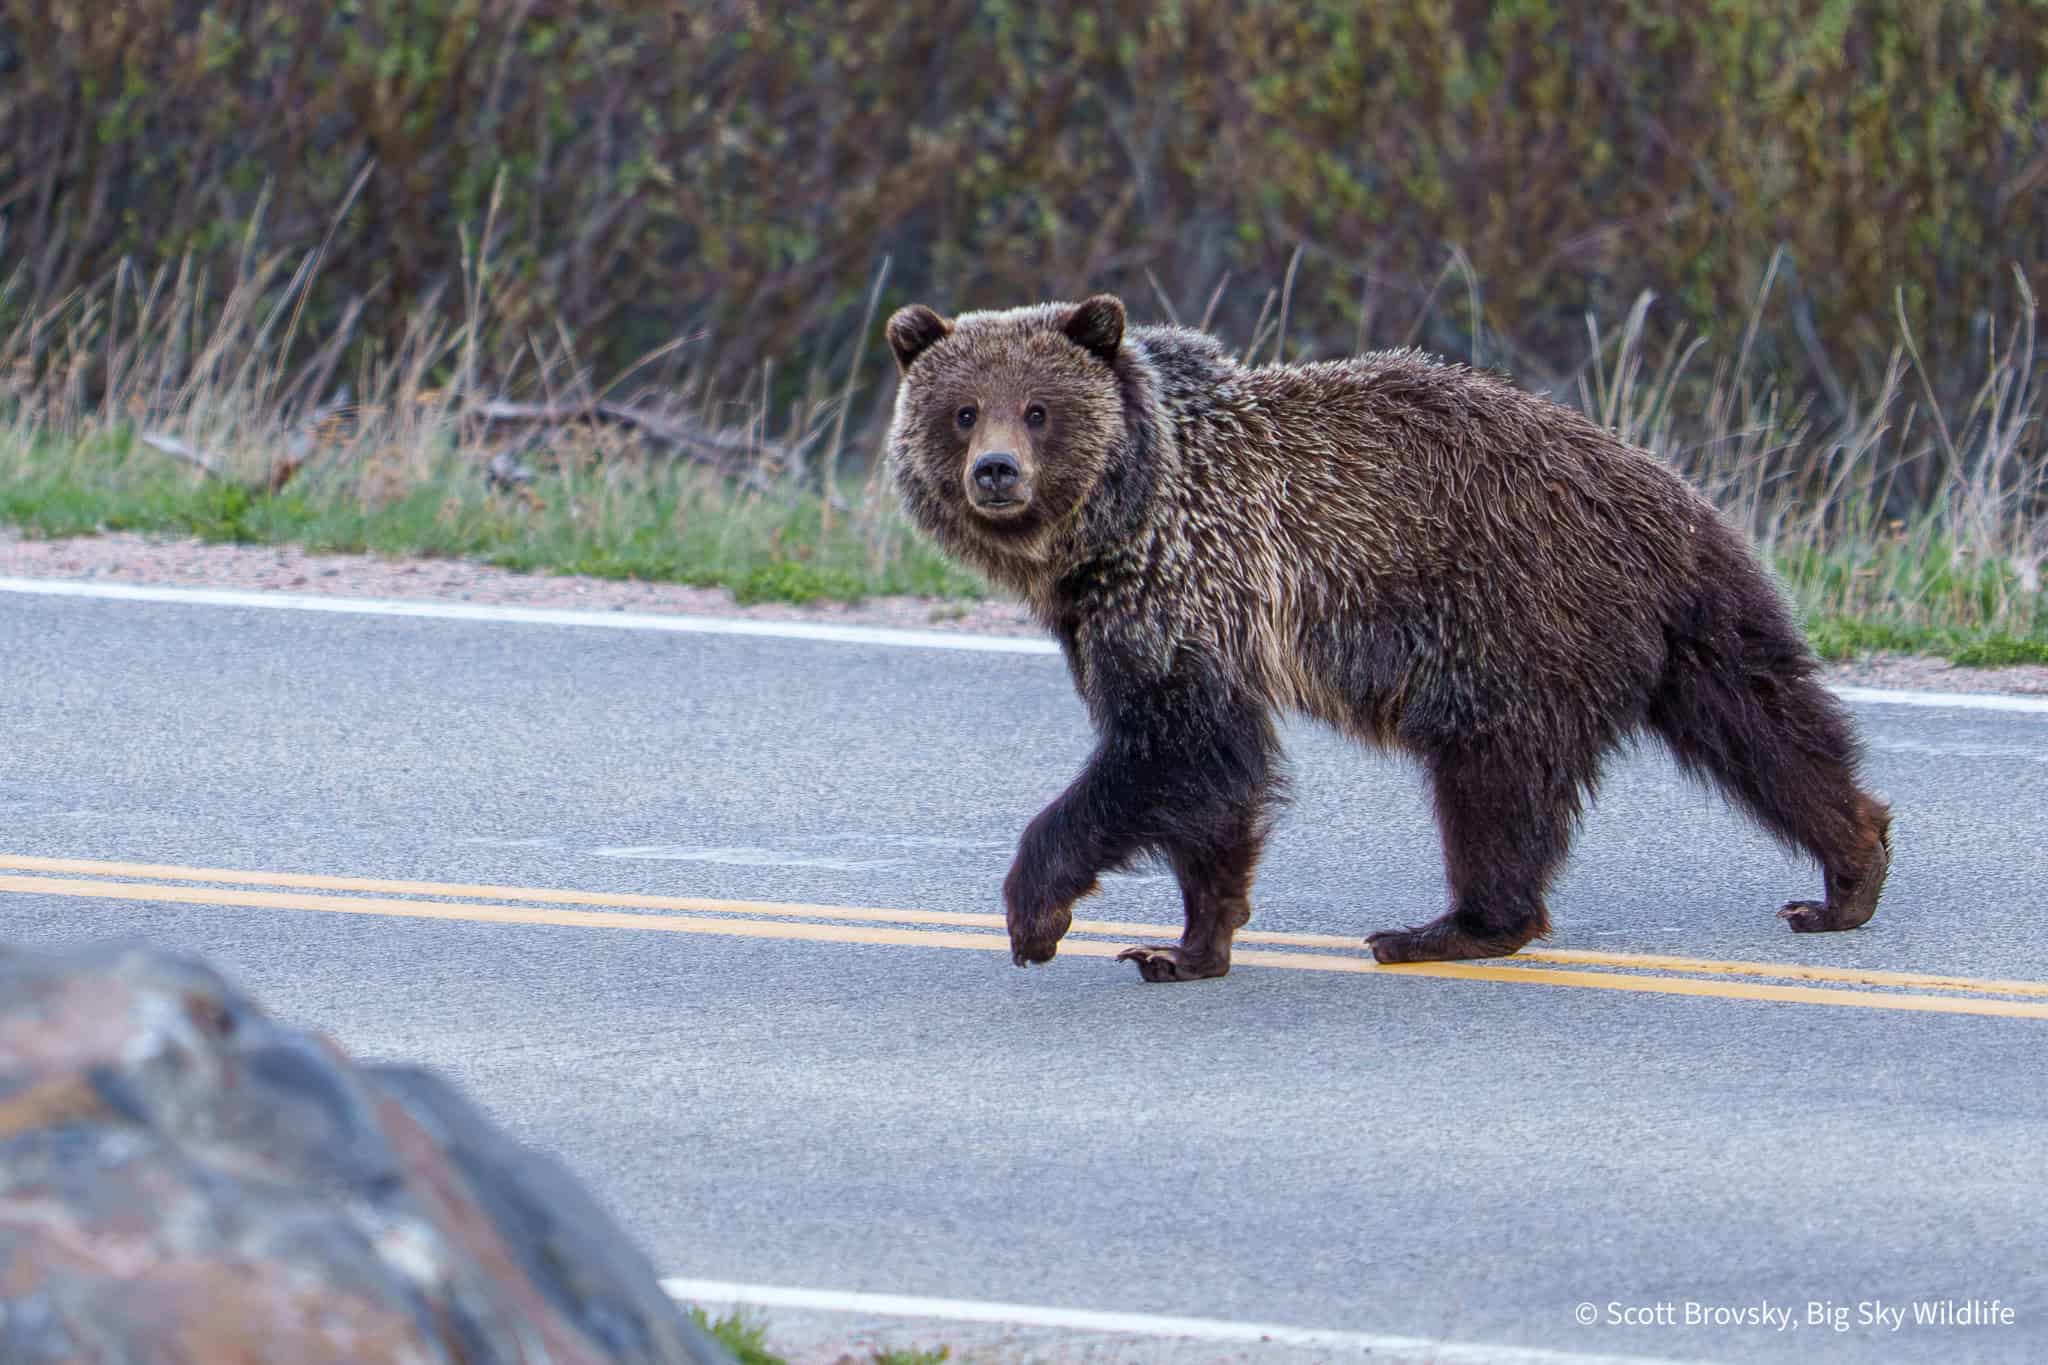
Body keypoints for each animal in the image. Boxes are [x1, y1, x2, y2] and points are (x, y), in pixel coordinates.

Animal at [883, 294, 1893, 982]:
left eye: (1038, 407)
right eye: (963, 410)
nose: (997, 471)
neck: (1119, 520)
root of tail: (1661, 501)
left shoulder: (1188, 583)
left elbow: (1180, 748)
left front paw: (1038, 914)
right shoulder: (1140, 615)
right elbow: (1214, 775)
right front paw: (1187, 943)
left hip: (1513, 619)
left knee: (1493, 779)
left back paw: (1447, 927)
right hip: (1700, 617)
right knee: (1765, 723)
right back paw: (1849, 869)